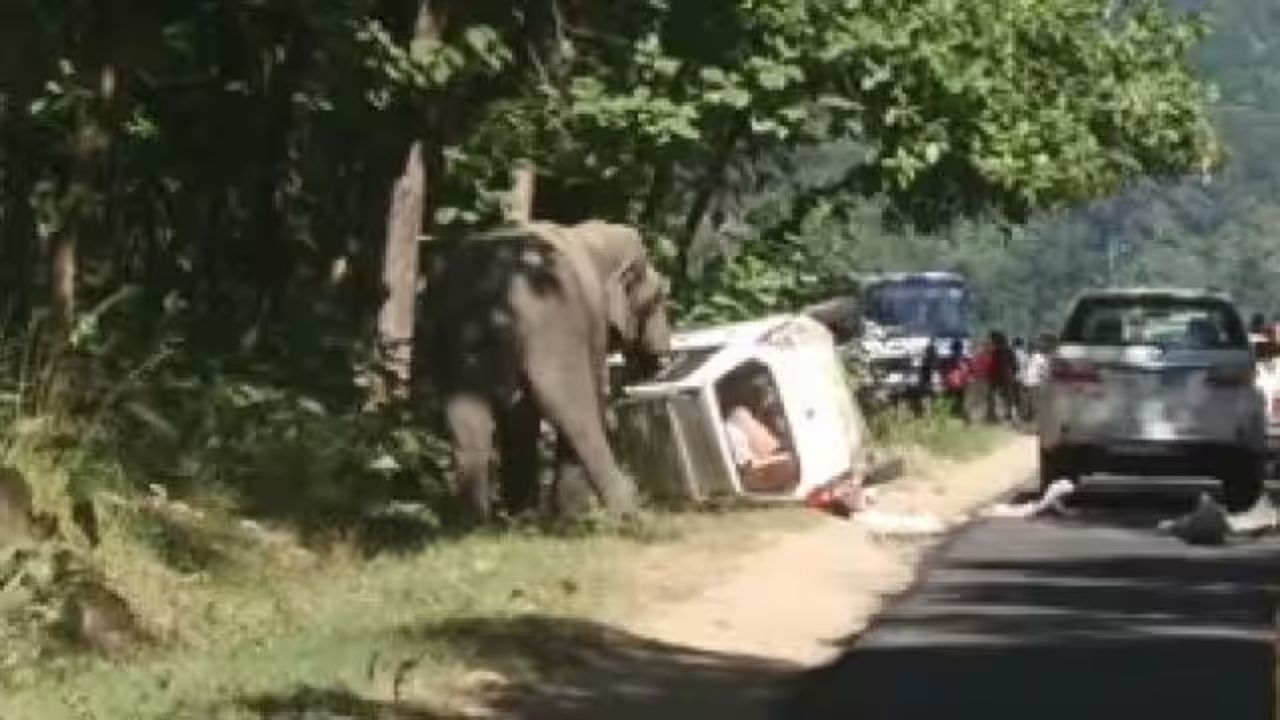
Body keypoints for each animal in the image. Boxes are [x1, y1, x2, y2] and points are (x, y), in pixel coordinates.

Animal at [424, 217, 675, 515]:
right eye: (658, 298)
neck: (593, 237)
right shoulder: (587, 323)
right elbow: (584, 393)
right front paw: (568, 513)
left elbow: (521, 416)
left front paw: (523, 514)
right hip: (547, 318)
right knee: (570, 409)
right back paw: (619, 512)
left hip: (450, 346)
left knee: (468, 423)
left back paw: (479, 519)